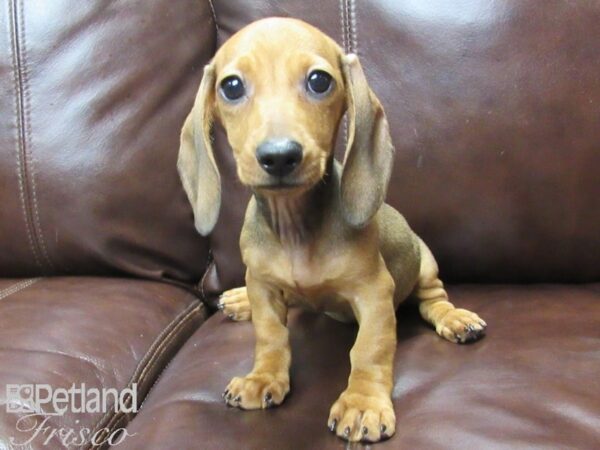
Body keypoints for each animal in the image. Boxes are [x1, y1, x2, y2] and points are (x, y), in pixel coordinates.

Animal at [176, 16, 486, 442]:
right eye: (232, 86)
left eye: (319, 81)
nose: (279, 156)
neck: (295, 229)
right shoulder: (263, 284)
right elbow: (270, 335)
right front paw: (263, 377)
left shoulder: (374, 293)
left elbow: (369, 350)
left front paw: (362, 403)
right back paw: (239, 301)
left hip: (425, 263)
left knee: (432, 298)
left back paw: (454, 318)